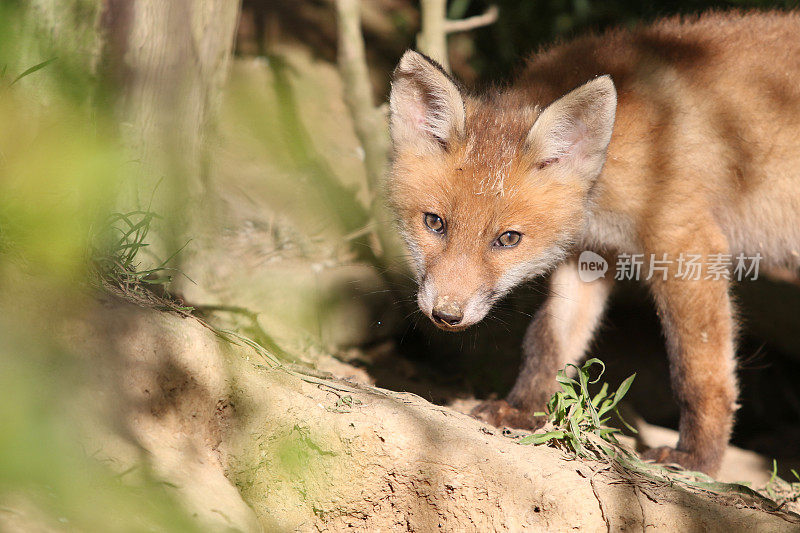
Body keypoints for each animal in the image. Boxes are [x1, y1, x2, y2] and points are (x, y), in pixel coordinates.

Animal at [386, 10, 800, 474]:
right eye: (434, 223)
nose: (446, 315)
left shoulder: (686, 241)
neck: (610, 165)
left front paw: (696, 460)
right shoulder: (590, 255)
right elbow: (550, 342)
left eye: (507, 239)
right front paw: (523, 409)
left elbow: (698, 372)